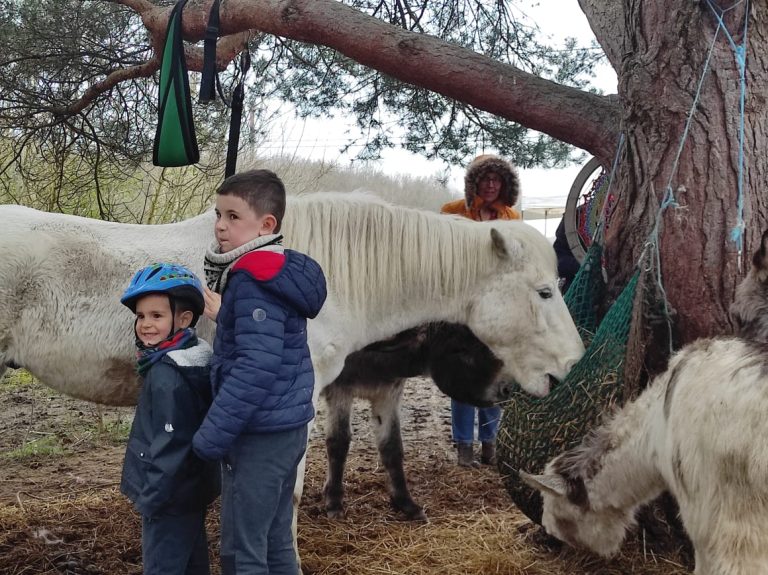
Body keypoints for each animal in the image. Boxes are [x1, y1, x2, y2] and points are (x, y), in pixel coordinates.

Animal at [323, 321, 501, 521]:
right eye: (460, 350)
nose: (507, 389)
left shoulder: (387, 394)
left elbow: (391, 446)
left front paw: (405, 503)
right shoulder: (340, 390)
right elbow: (339, 442)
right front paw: (334, 502)